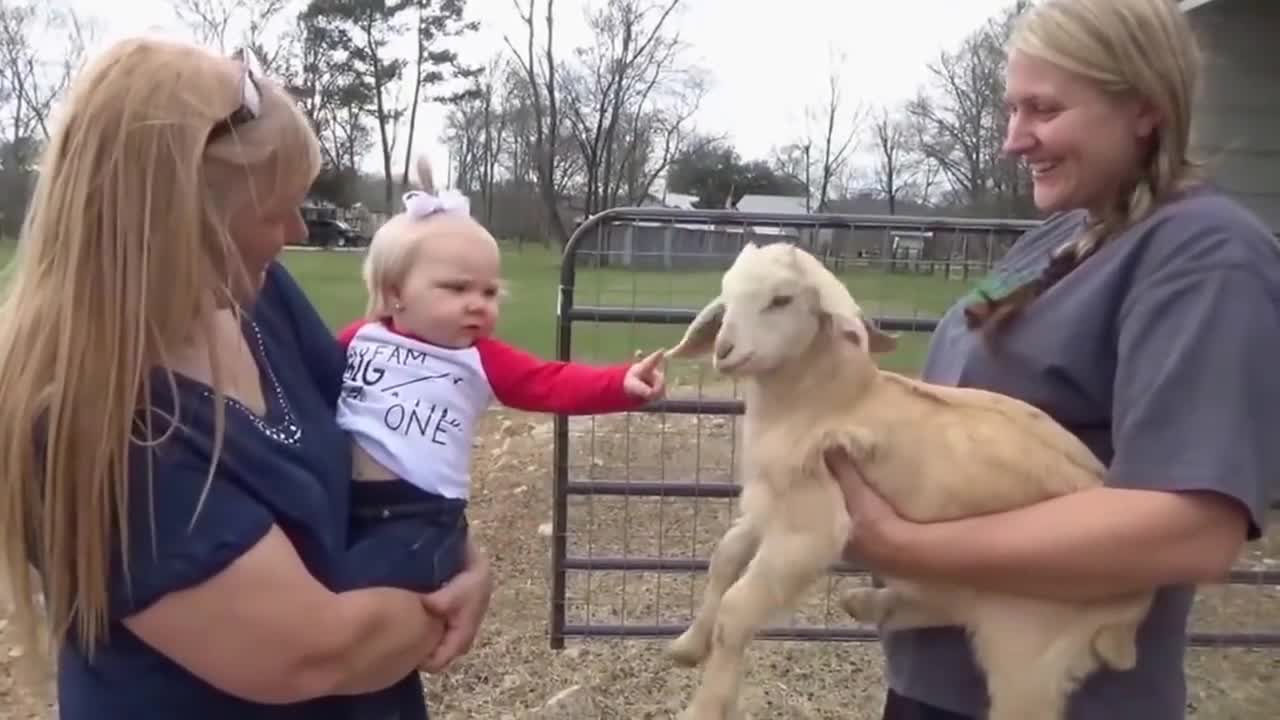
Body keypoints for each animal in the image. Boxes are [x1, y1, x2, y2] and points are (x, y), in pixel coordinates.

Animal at [665, 240, 1157, 717]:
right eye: (727, 299)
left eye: (781, 300)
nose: (724, 350)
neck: (826, 400)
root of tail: (1132, 612)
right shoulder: (769, 501)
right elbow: (724, 559)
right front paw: (688, 645)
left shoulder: (810, 526)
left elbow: (737, 609)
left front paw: (704, 708)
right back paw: (871, 604)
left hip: (1030, 648)